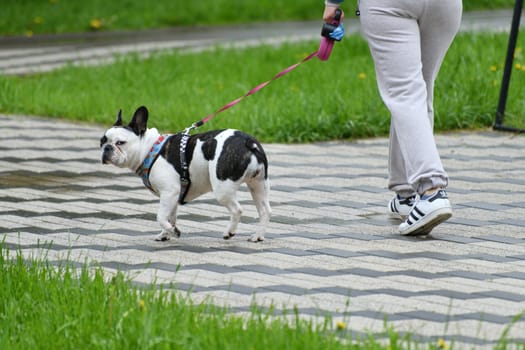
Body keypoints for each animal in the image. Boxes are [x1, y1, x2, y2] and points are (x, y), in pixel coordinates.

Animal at [100, 106, 270, 242]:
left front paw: (173, 231)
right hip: (258, 185)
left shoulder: (169, 192)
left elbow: (160, 216)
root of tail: (248, 142)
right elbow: (170, 216)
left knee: (237, 210)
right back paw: (258, 236)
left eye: (120, 143)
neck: (150, 149)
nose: (107, 148)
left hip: (223, 188)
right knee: (264, 210)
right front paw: (165, 233)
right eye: (102, 141)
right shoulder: (172, 195)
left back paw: (229, 232)